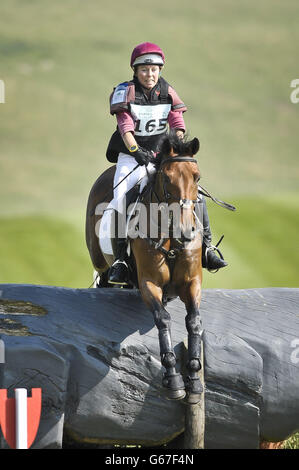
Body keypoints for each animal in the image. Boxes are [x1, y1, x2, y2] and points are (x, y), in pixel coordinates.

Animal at [85, 133, 205, 404]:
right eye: (167, 178)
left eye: (197, 177)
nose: (186, 231)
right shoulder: (149, 283)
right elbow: (163, 319)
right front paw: (173, 380)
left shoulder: (192, 282)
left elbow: (193, 321)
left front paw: (194, 378)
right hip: (101, 262)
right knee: (103, 280)